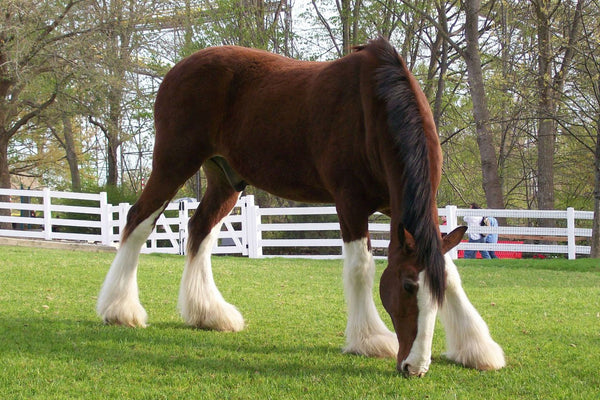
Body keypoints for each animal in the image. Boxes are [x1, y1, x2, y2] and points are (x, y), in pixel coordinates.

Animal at [96, 36, 504, 376]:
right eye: (406, 286)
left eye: (434, 295)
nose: (414, 367)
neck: (375, 109)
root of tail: (179, 68)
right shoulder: (350, 202)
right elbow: (361, 268)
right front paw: (370, 340)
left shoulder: (399, 208)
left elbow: (449, 271)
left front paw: (477, 348)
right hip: (173, 161)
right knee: (138, 221)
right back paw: (119, 309)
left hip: (225, 178)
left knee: (200, 230)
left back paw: (208, 314)